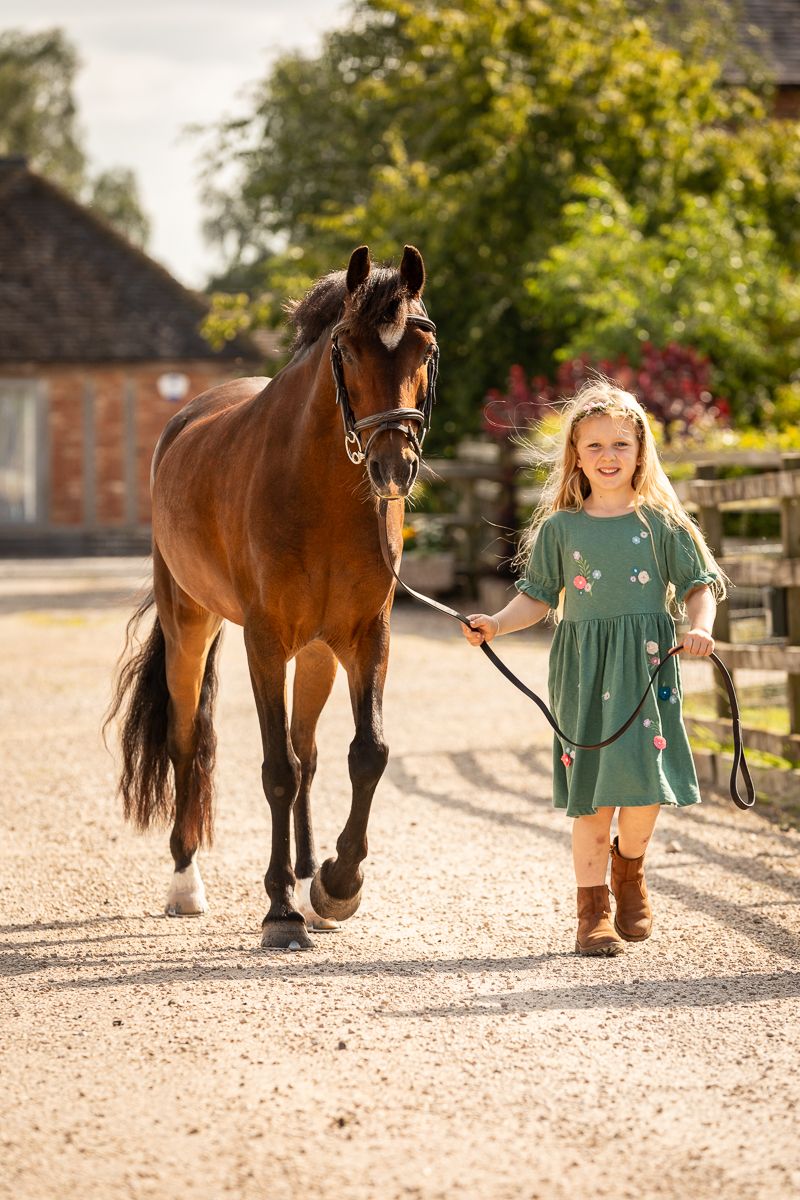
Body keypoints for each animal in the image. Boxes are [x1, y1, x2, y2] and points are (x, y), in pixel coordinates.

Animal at [106, 245, 439, 949]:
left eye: (424, 347)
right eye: (348, 347)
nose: (393, 467)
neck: (321, 490)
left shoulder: (367, 635)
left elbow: (366, 754)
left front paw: (337, 884)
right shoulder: (264, 643)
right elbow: (275, 769)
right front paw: (281, 910)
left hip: (315, 654)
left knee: (309, 751)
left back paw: (312, 873)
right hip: (191, 627)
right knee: (187, 744)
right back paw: (186, 883)